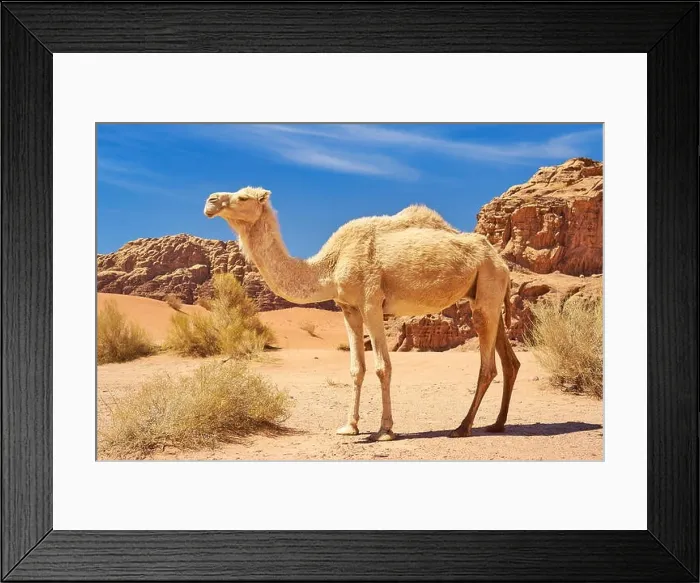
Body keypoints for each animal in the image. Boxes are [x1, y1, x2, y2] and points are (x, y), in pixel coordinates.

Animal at [204, 186, 520, 441]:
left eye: (243, 197)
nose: (210, 200)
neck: (329, 267)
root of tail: (501, 262)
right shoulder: (349, 308)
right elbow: (357, 368)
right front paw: (349, 426)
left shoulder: (371, 302)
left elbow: (383, 367)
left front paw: (385, 430)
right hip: (489, 296)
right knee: (510, 362)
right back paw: (496, 424)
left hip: (487, 287)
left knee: (488, 366)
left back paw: (462, 427)